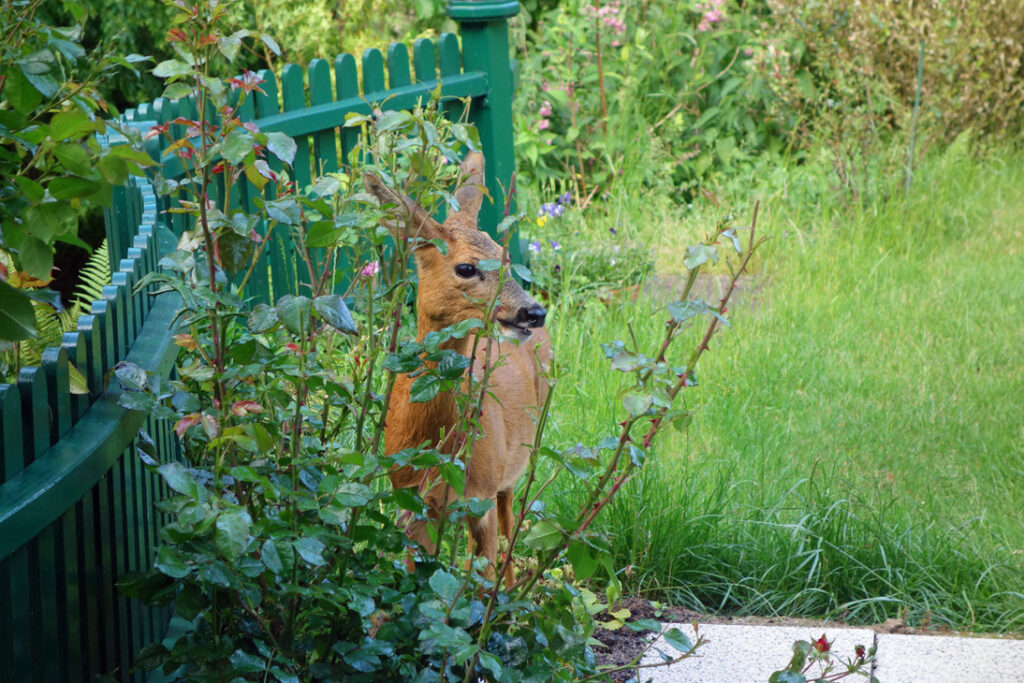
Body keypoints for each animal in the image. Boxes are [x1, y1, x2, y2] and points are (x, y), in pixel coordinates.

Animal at [366, 153, 552, 589]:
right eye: (466, 268)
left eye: (506, 258)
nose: (534, 312)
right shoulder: (411, 501)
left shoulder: (479, 495)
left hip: (515, 460)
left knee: (508, 522)